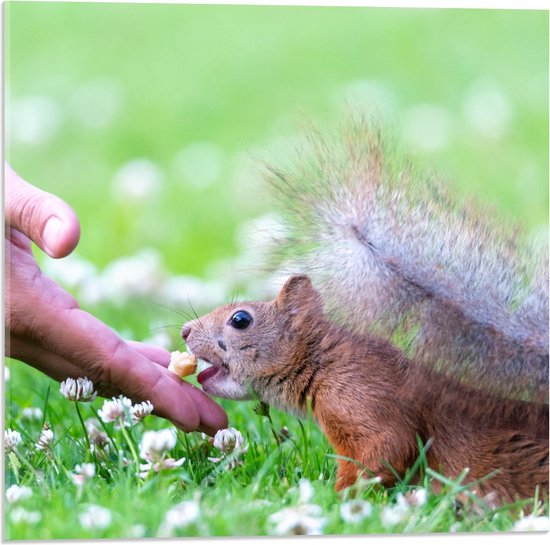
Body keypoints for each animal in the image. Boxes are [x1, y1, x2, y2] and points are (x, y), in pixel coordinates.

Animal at [180, 117, 548, 504]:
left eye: (241, 320)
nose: (185, 331)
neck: (324, 361)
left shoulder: (366, 399)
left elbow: (387, 450)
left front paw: (333, 497)